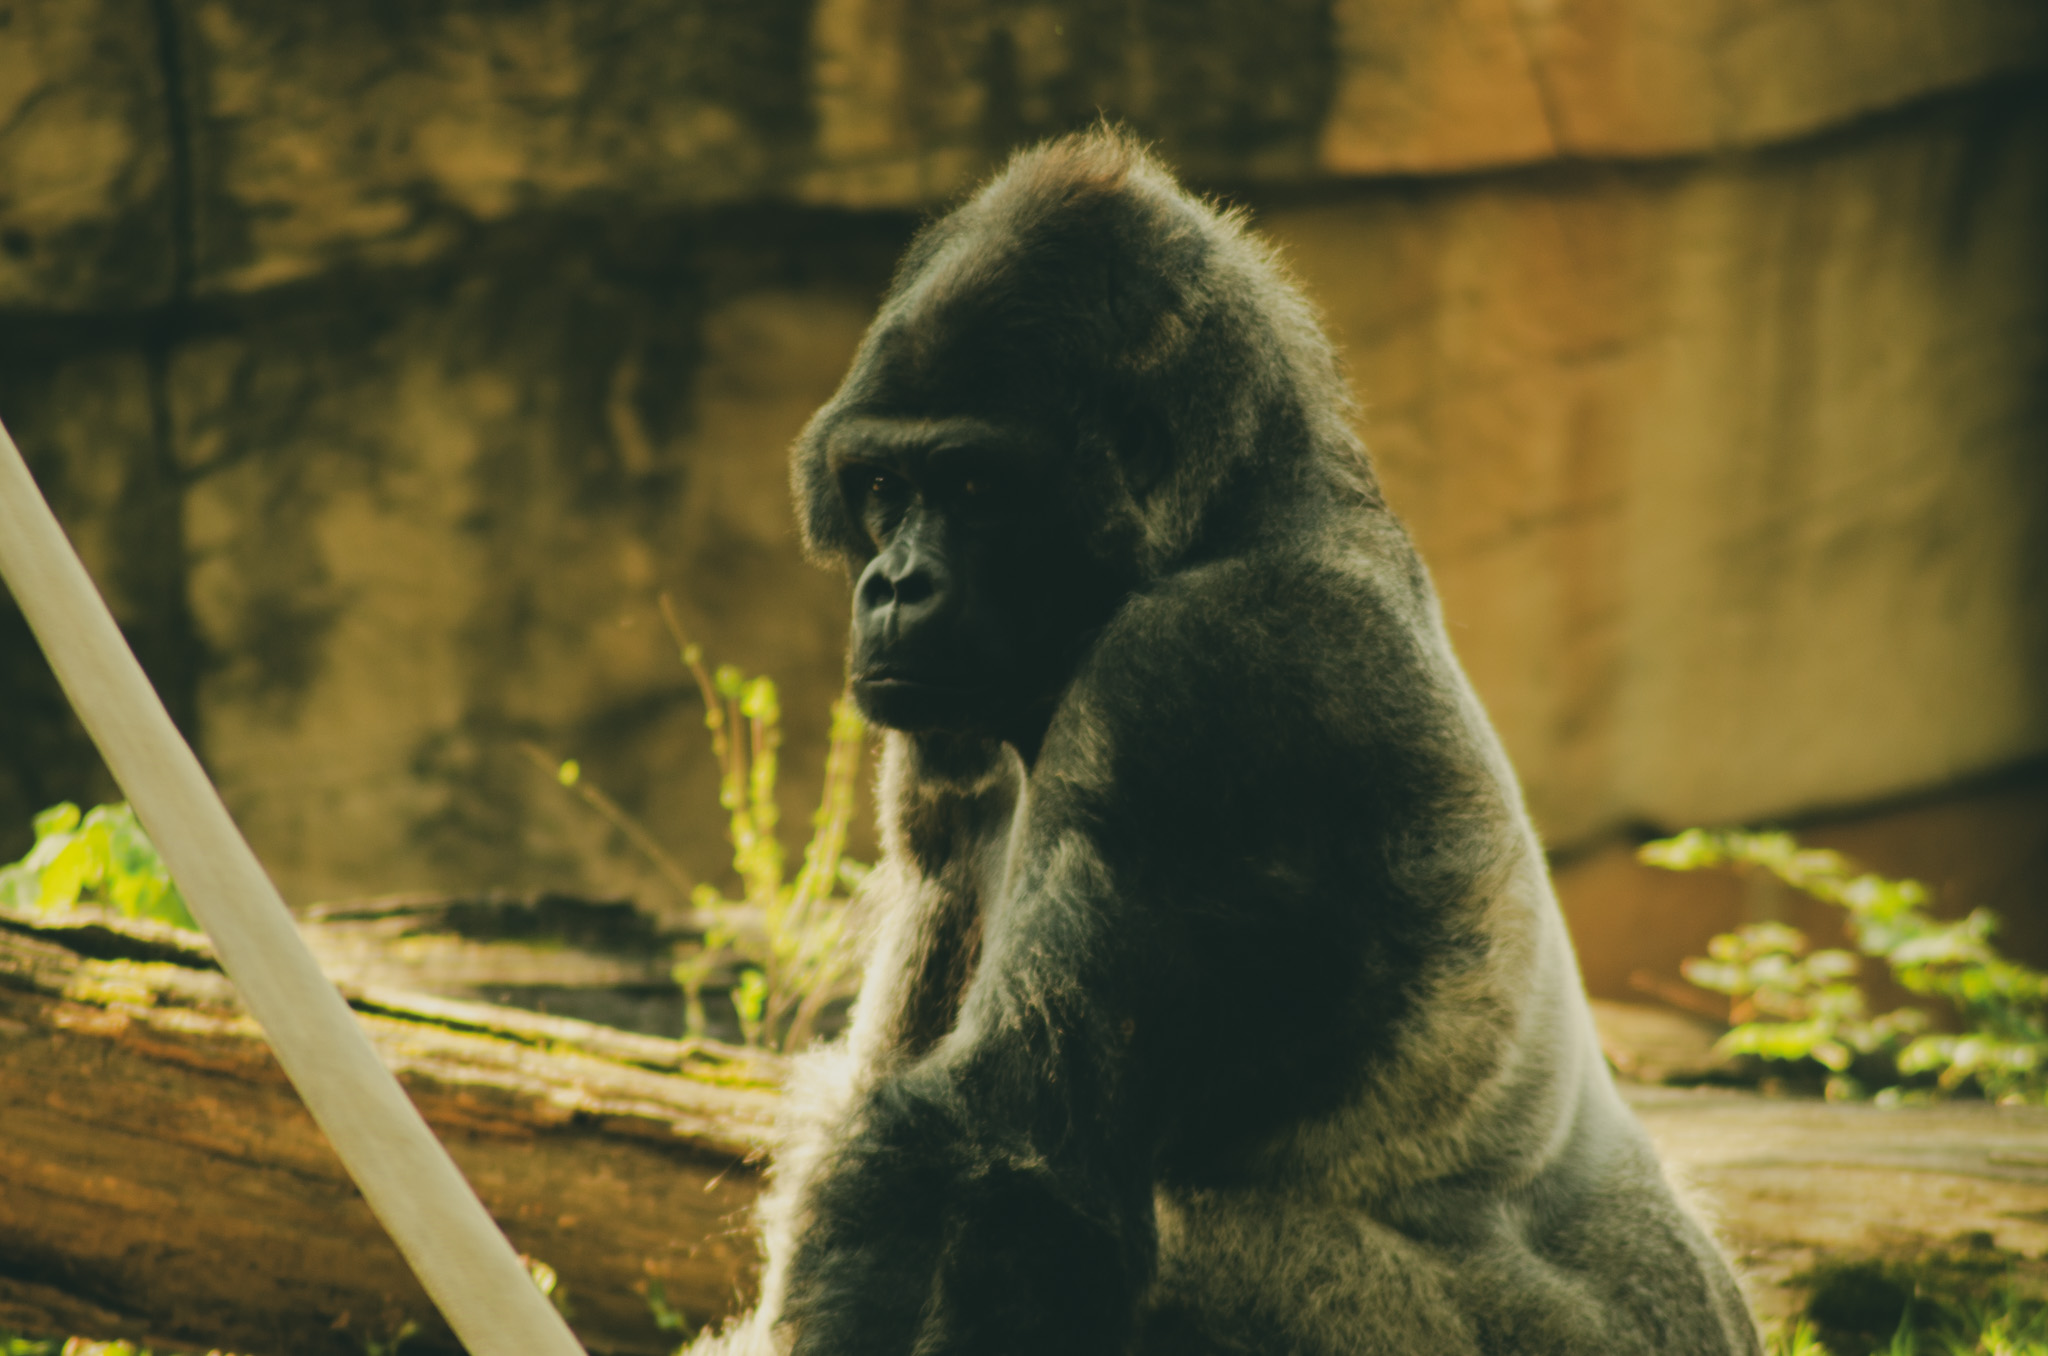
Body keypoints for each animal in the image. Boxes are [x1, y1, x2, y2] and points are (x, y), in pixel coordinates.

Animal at [690, 126, 1761, 1356]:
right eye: (881, 484)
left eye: (972, 481)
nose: (895, 584)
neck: (1226, 517)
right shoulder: (948, 738)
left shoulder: (1198, 677)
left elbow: (1008, 1167)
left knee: (1195, 1237)